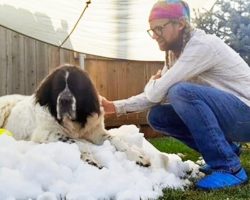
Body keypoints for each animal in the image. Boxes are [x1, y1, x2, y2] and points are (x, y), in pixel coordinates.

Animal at [0, 64, 168, 169]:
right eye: (57, 87)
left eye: (76, 87)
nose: (65, 101)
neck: (74, 122)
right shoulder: (47, 133)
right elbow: (79, 143)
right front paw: (91, 160)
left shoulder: (96, 131)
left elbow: (116, 139)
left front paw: (137, 157)